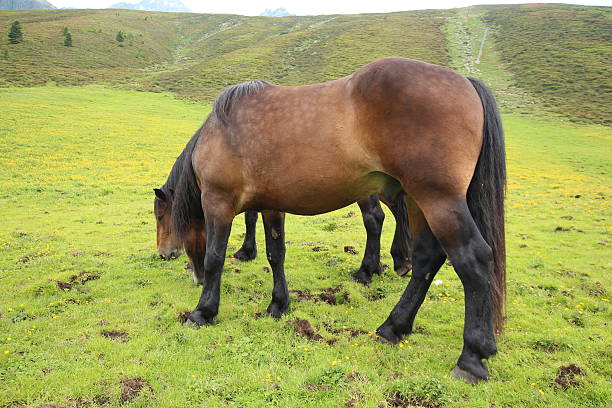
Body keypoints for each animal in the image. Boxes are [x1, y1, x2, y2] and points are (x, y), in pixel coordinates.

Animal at [170, 57, 504, 382]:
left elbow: (215, 258)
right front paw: (278, 305)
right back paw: (394, 327)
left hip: (439, 200)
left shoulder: (218, 202)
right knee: (426, 259)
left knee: (472, 260)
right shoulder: (271, 207)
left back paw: (471, 357)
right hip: (418, 200)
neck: (219, 133)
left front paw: (203, 312)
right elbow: (275, 254)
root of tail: (465, 82)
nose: (174, 260)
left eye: (166, 221)